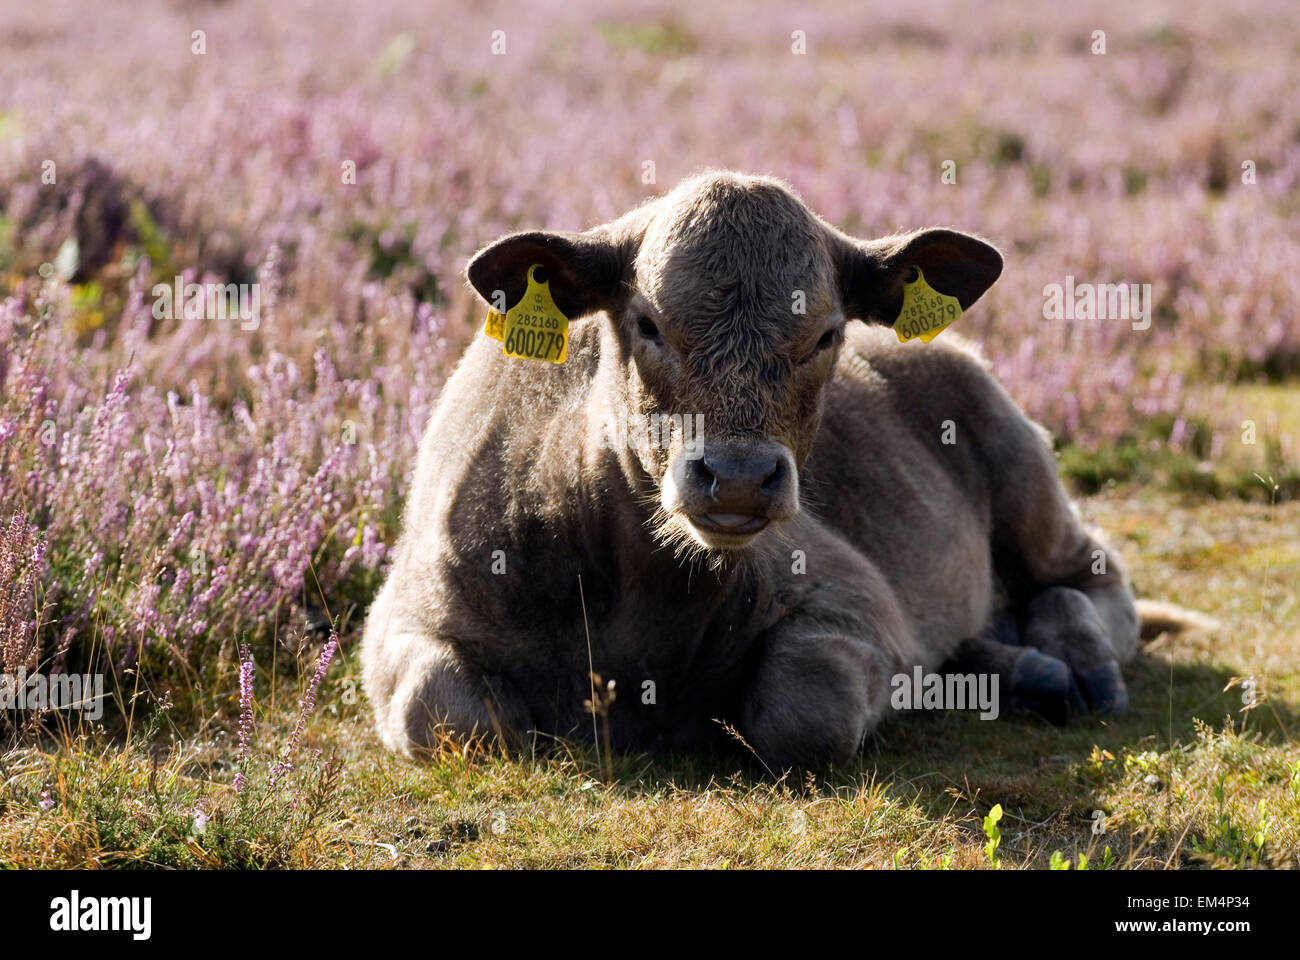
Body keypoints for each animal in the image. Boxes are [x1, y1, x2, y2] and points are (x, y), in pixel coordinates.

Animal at [361, 171, 1154, 764]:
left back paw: (1077, 661)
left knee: (1093, 577)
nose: (738, 475)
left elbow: (805, 709)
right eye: (647, 323)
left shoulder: (857, 600)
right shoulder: (404, 615)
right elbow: (444, 714)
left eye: (826, 335)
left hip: (1026, 475)